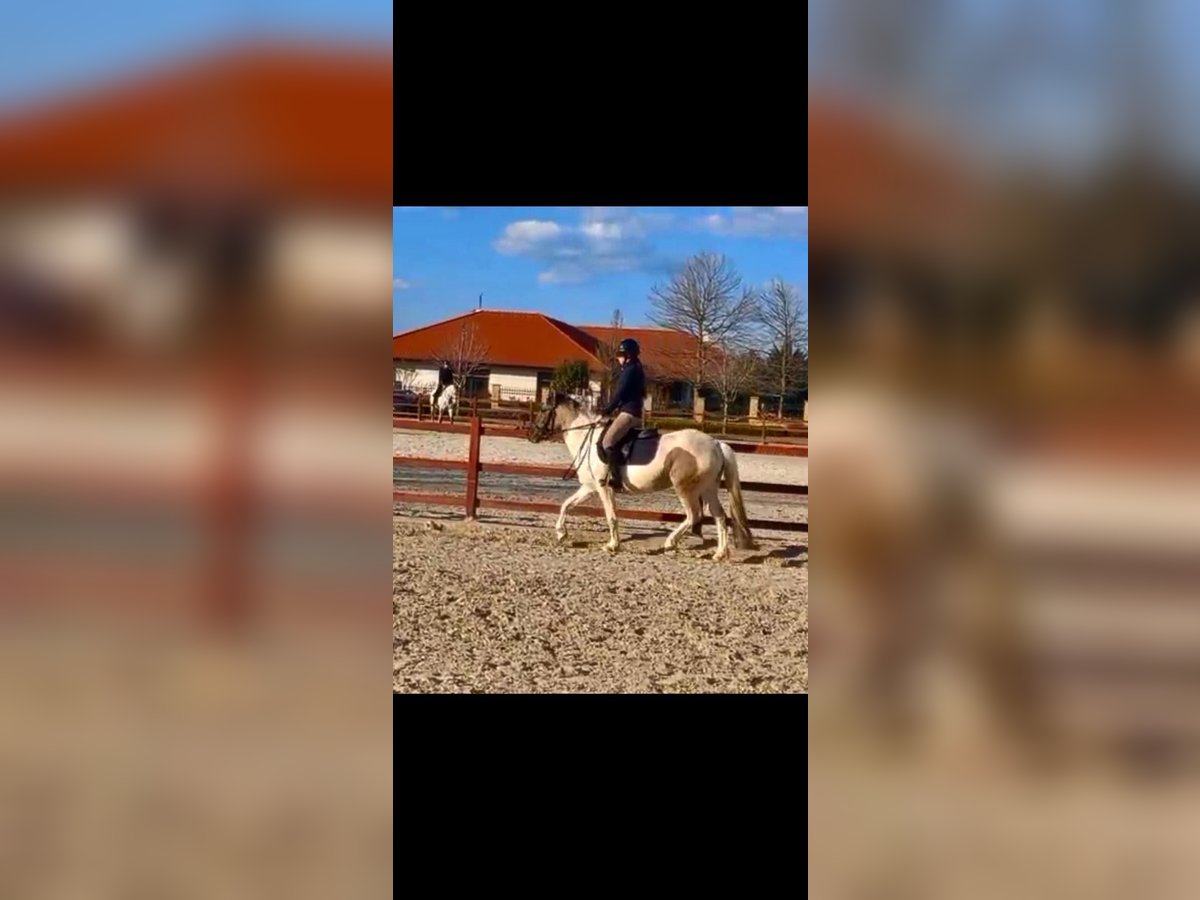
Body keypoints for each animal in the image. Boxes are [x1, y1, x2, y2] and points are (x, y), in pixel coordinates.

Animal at [528, 390, 756, 559]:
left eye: (543, 409)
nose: (532, 436)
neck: (586, 437)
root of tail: (715, 443)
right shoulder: (590, 487)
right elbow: (566, 505)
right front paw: (561, 533)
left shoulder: (603, 487)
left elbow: (611, 515)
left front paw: (612, 545)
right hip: (708, 488)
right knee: (720, 516)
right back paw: (719, 554)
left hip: (685, 488)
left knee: (694, 515)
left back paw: (670, 543)